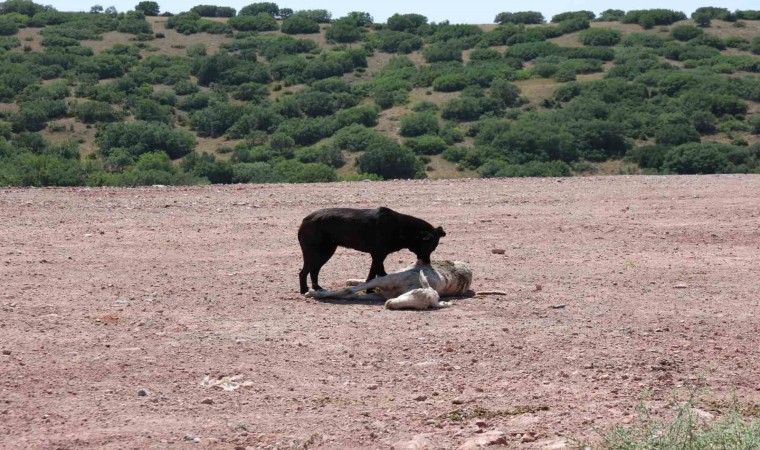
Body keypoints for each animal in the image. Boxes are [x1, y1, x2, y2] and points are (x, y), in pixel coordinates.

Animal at [300, 208, 446, 296]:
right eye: (430, 248)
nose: (427, 263)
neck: (402, 229)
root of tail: (304, 220)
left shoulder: (379, 257)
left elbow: (381, 273)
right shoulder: (378, 256)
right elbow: (372, 275)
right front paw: (369, 290)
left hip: (324, 252)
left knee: (313, 271)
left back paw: (316, 288)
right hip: (318, 253)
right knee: (305, 272)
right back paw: (304, 290)